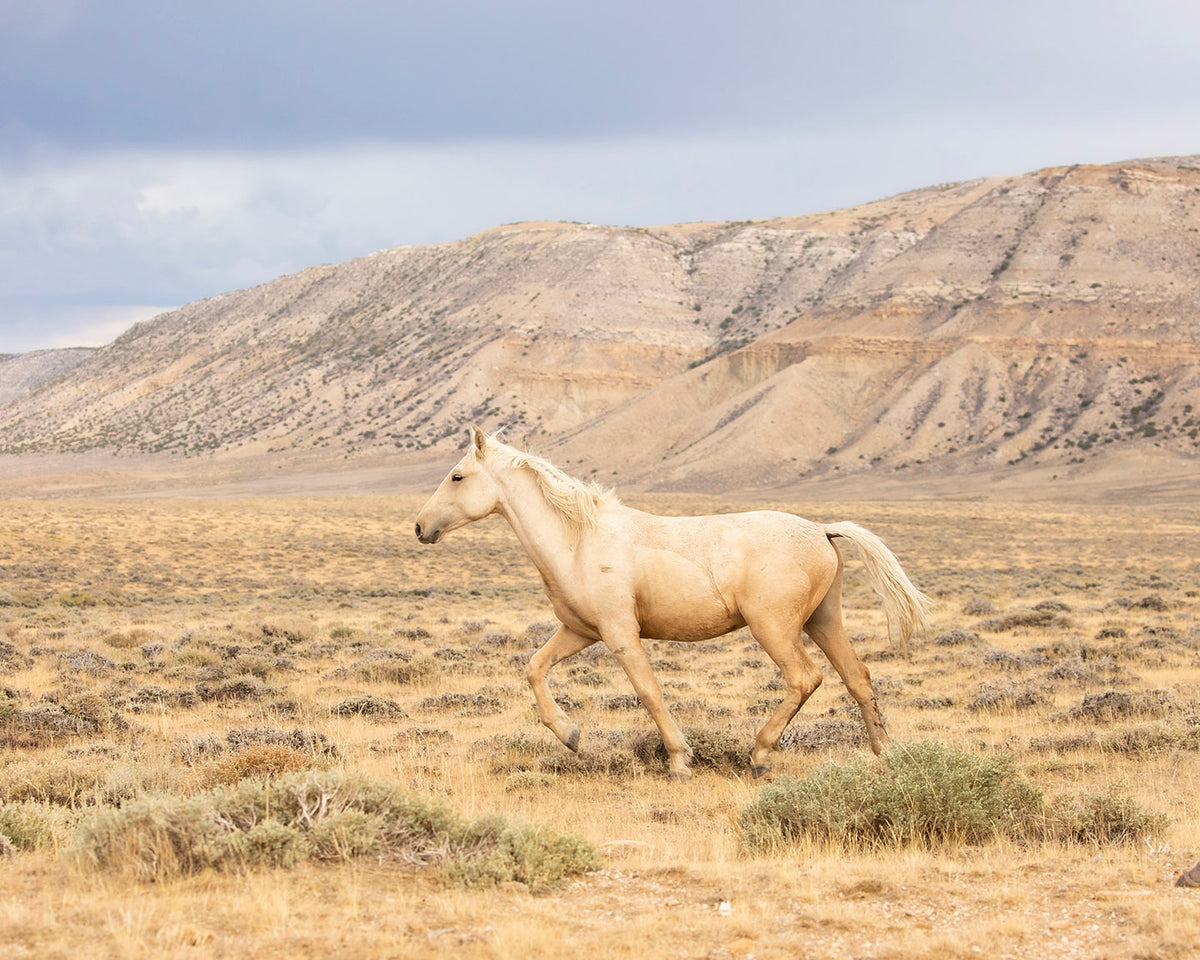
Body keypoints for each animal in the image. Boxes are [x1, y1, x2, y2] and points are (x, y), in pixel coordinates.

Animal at [417, 429, 931, 777]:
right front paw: (570, 736)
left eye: (457, 475)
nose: (421, 527)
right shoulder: (579, 631)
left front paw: (680, 760)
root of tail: (822, 530)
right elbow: (534, 669)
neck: (579, 542)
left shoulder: (620, 635)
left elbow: (649, 692)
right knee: (858, 677)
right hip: (823, 621)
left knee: (805, 679)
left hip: (775, 628)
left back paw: (761, 754)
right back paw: (885, 753)